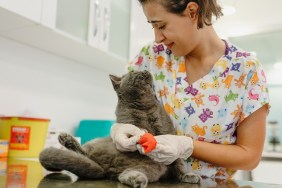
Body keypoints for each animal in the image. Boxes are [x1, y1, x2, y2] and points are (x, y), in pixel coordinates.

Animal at [39, 71, 200, 188]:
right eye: (134, 72)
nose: (146, 71)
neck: (144, 108)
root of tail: (105, 168)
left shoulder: (168, 132)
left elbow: (179, 164)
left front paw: (187, 175)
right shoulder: (127, 121)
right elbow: (133, 129)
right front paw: (139, 135)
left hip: (152, 167)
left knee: (124, 175)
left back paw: (136, 178)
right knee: (88, 155)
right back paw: (66, 139)